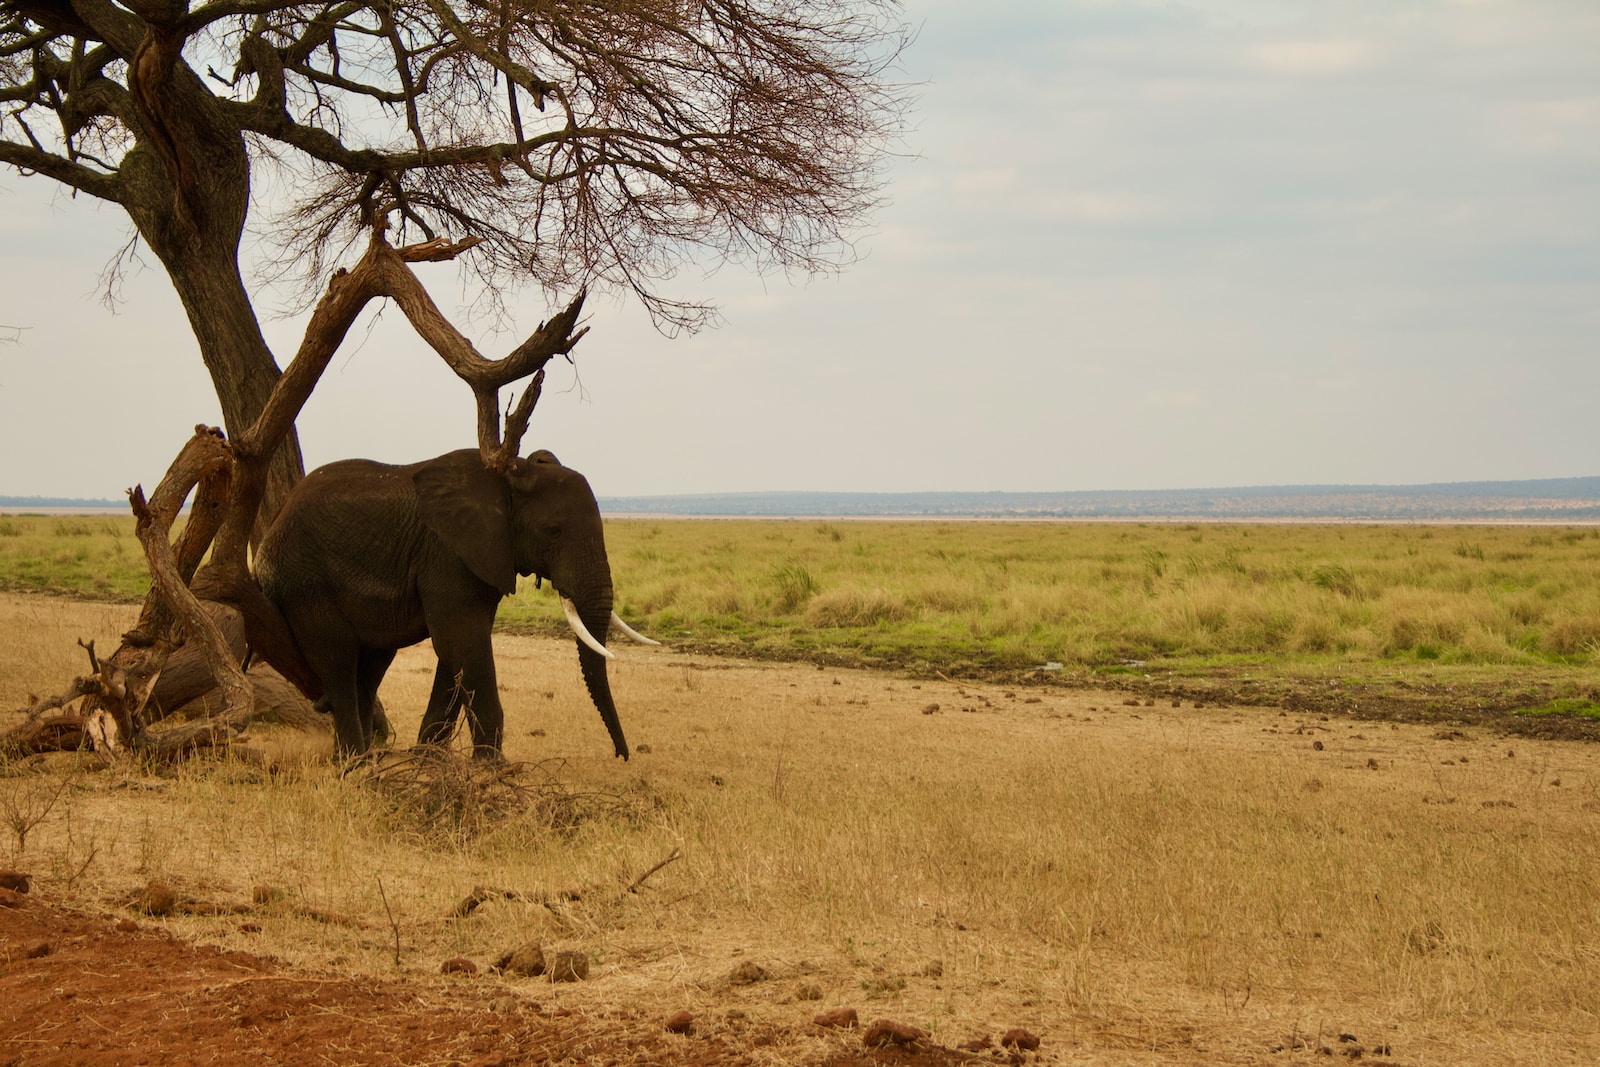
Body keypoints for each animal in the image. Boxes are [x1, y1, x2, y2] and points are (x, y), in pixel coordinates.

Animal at [249, 447, 649, 758]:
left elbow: (457, 650)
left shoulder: (481, 557)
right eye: (553, 531)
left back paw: (362, 757)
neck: (512, 471)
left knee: (369, 668)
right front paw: (492, 767)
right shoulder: (448, 554)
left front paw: (428, 759)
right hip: (304, 582)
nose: (622, 754)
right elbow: (464, 642)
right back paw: (355, 762)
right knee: (339, 662)